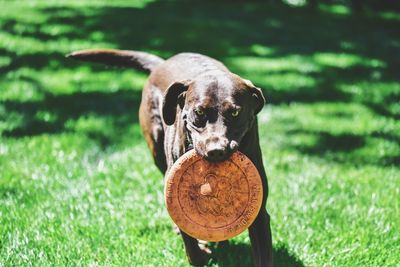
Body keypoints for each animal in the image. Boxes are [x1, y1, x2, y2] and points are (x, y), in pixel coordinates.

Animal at [69, 49, 276, 266]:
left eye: (236, 112)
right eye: (199, 111)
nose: (216, 151)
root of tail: (162, 63)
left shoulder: (260, 213)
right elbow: (192, 247)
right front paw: (200, 253)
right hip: (157, 149)